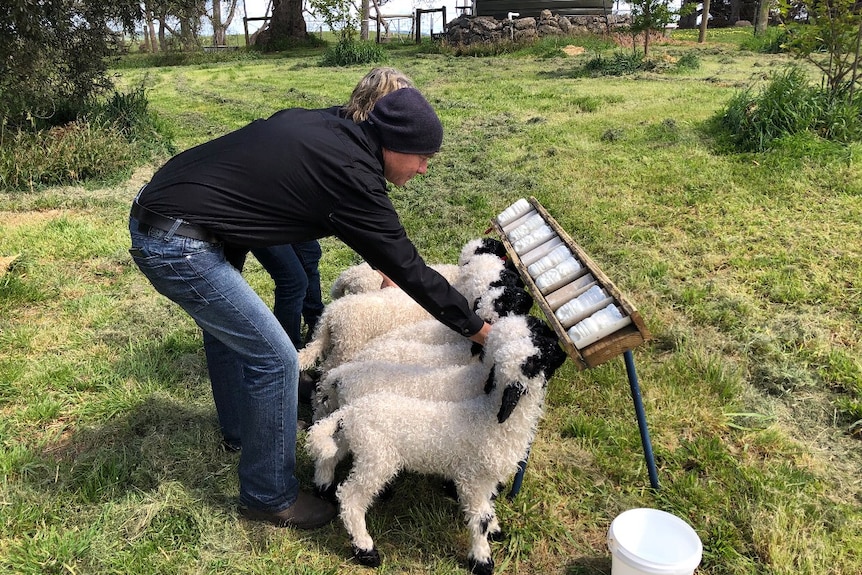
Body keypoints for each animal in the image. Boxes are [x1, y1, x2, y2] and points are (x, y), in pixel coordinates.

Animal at [308, 316, 572, 575]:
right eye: (539, 356)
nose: (563, 350)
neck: (490, 418)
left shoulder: (486, 477)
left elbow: (489, 506)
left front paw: (495, 531)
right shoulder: (472, 478)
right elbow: (480, 518)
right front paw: (482, 559)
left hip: (354, 441)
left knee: (329, 454)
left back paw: (324, 488)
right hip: (377, 459)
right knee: (351, 498)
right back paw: (365, 548)